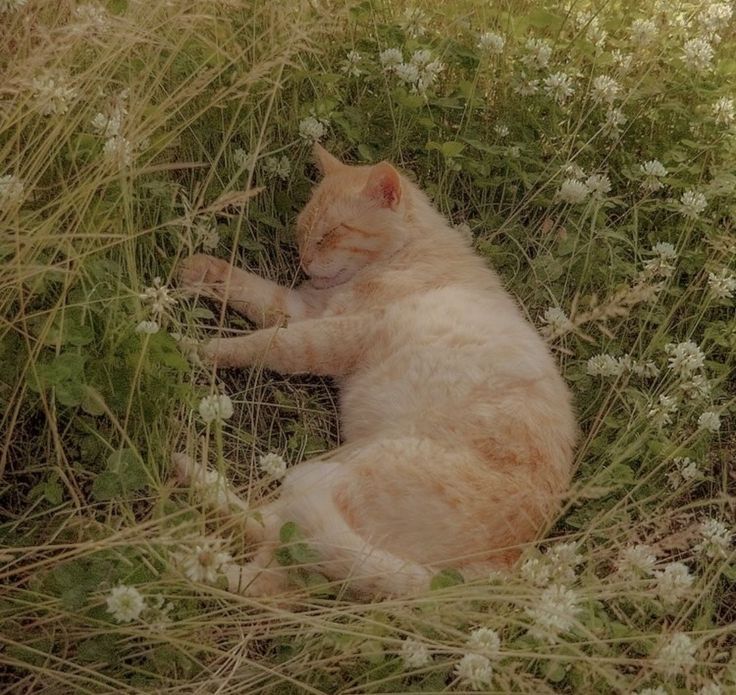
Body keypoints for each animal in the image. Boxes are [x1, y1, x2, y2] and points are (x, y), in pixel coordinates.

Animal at [172, 143, 576, 600]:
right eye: (303, 231)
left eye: (330, 233)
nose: (305, 260)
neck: (405, 252)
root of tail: (502, 567)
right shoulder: (305, 309)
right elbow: (251, 291)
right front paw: (200, 269)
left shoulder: (333, 334)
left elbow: (266, 344)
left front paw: (198, 347)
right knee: (271, 552)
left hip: (341, 481)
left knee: (269, 572)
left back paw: (185, 551)